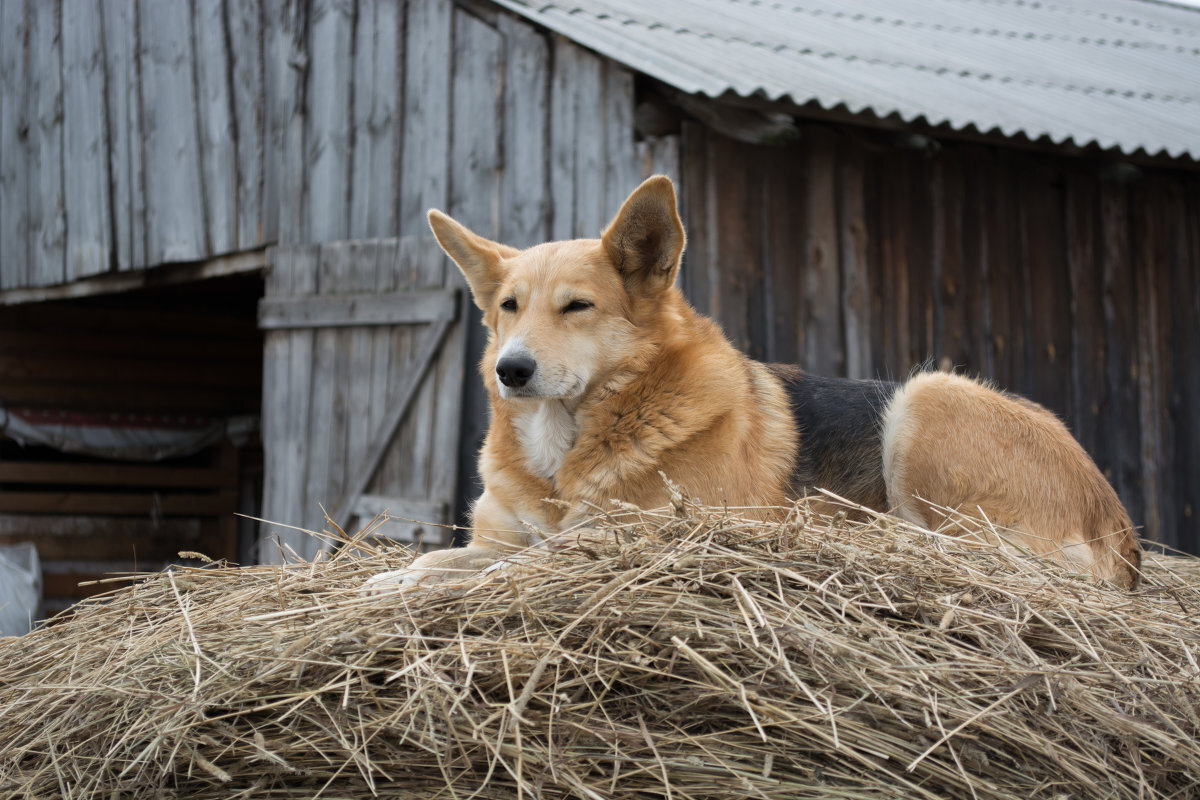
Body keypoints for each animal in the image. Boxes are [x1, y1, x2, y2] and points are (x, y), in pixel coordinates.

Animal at [364, 175, 1142, 594]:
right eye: (508, 307)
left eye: (577, 307)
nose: (511, 370)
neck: (569, 442)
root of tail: (1117, 525)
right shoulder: (504, 536)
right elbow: (444, 558)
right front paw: (394, 580)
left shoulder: (641, 535)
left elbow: (513, 565)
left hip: (927, 397)